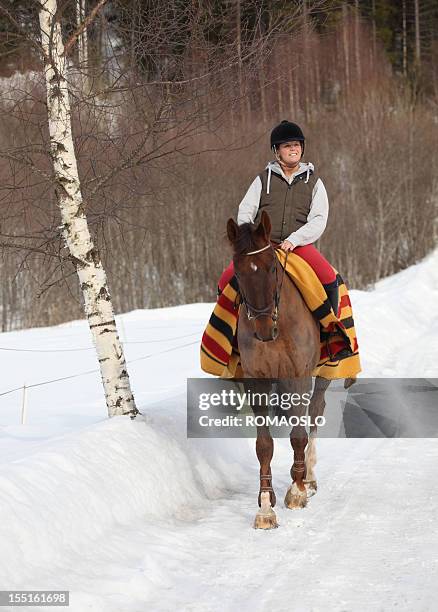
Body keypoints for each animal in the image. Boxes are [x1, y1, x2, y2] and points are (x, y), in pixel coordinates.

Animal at [228, 209, 330, 524]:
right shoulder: (256, 380)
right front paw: (265, 505)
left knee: (315, 413)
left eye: (272, 267)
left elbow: (298, 435)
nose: (263, 330)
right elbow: (264, 445)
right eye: (238, 273)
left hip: (323, 373)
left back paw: (308, 477)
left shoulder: (298, 375)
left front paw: (296, 491)